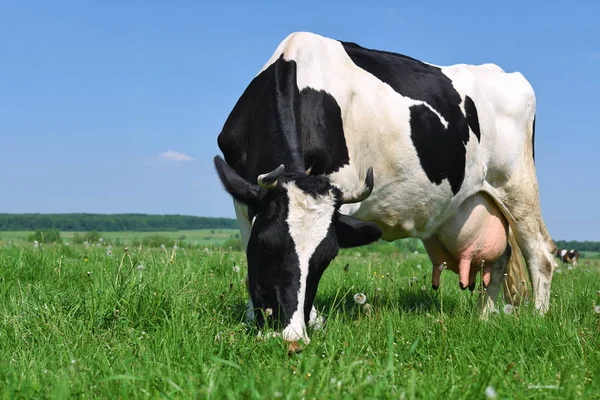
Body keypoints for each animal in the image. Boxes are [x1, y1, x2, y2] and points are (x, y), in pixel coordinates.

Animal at [212, 32, 556, 348]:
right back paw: (484, 316)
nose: (293, 337)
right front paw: (253, 316)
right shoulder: (244, 197)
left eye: (326, 259)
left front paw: (313, 320)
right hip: (476, 204)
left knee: (540, 252)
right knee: (500, 256)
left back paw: (539, 317)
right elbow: (248, 250)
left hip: (517, 185)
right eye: (268, 246)